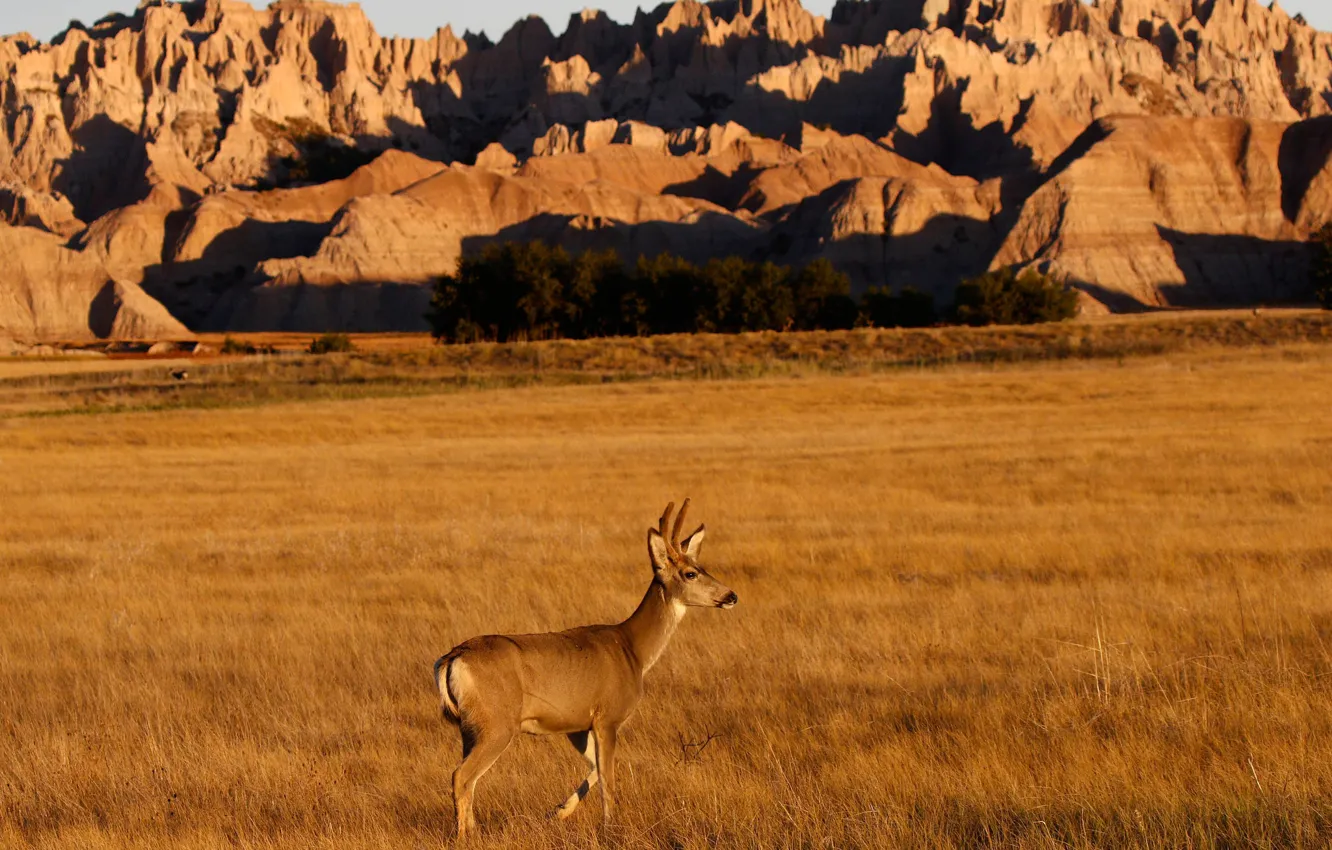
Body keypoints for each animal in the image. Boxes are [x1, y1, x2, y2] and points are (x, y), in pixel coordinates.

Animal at [431, 500, 740, 842]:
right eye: (690, 573)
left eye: (703, 566)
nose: (731, 596)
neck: (632, 650)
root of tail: (452, 658)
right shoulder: (608, 717)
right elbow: (609, 778)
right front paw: (611, 827)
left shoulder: (576, 724)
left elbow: (594, 770)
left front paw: (557, 812)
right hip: (497, 724)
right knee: (461, 776)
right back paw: (464, 836)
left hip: (470, 727)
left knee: (467, 778)